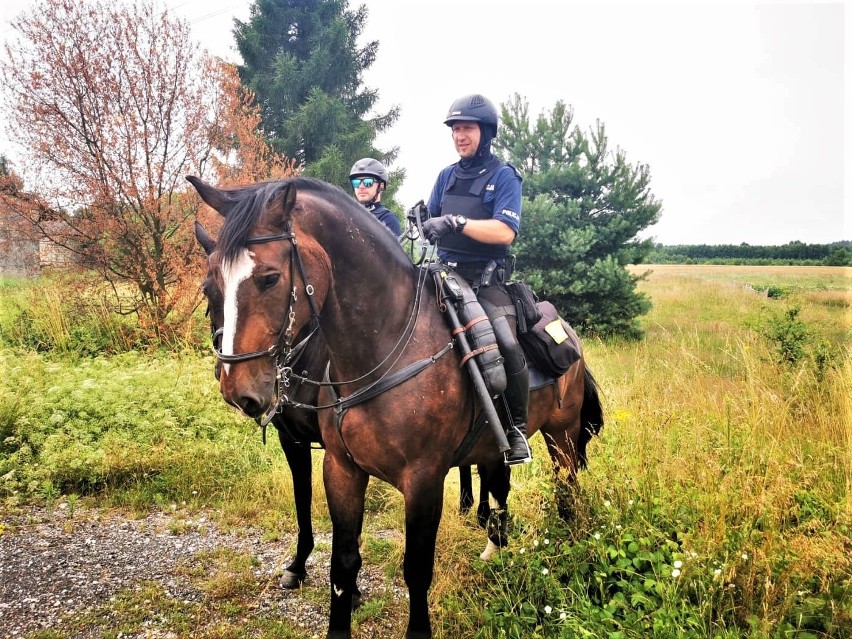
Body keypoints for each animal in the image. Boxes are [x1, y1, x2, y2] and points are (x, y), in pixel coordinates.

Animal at [188, 176, 600, 639]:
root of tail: (566, 331)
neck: (384, 347)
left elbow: (416, 569)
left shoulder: (423, 481)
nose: (237, 389)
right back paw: (496, 548)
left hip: (562, 436)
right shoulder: (339, 468)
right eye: (210, 288)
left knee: (566, 491)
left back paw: (564, 549)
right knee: (500, 487)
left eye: (270, 278)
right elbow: (340, 559)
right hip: (498, 447)